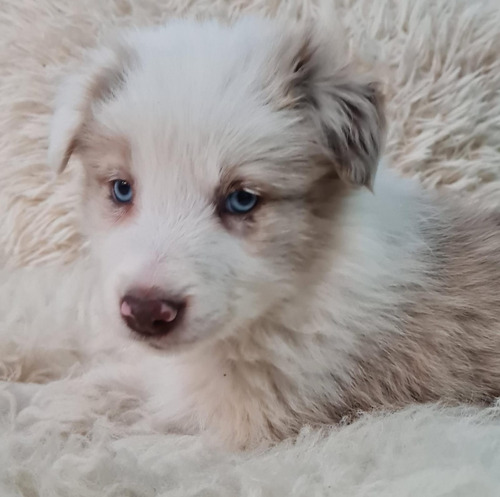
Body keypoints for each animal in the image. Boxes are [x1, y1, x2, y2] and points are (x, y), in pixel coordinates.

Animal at [0, 17, 500, 448]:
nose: (145, 311)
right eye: (122, 189)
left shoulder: (247, 419)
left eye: (242, 199)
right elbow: (106, 378)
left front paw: (38, 411)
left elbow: (118, 409)